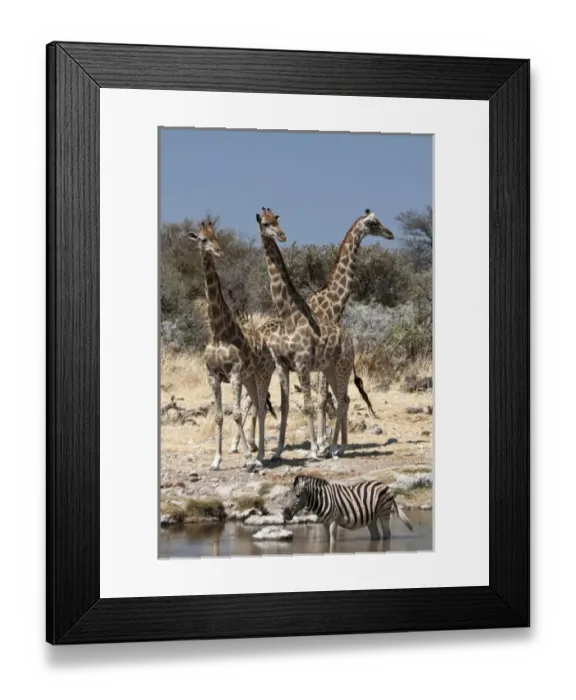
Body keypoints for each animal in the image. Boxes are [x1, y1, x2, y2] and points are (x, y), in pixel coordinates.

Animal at [187, 219, 275, 471]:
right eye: (202, 239)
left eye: (216, 236)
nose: (218, 251)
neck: (218, 333)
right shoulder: (213, 375)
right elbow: (219, 415)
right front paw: (216, 460)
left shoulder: (234, 373)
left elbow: (235, 414)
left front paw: (246, 457)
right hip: (250, 379)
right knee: (255, 406)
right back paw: (257, 454)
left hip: (263, 374)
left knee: (261, 409)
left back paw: (260, 456)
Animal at [255, 207, 355, 460]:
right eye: (265, 223)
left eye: (276, 220)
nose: (282, 235)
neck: (289, 316)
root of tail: (351, 339)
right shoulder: (283, 366)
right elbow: (285, 406)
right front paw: (278, 451)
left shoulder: (302, 364)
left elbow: (308, 406)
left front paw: (313, 449)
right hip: (330, 368)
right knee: (343, 398)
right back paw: (338, 447)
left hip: (343, 366)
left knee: (341, 400)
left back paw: (334, 448)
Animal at [283, 474, 414, 544]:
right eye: (287, 495)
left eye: (297, 496)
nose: (285, 514)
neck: (322, 500)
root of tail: (385, 485)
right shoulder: (324, 523)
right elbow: (327, 539)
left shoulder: (334, 520)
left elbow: (332, 541)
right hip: (372, 518)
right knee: (376, 536)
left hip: (384, 513)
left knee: (387, 534)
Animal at [306, 209, 394, 447]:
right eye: (374, 223)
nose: (390, 233)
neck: (334, 304)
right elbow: (322, 397)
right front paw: (323, 441)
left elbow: (332, 396)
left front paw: (333, 440)